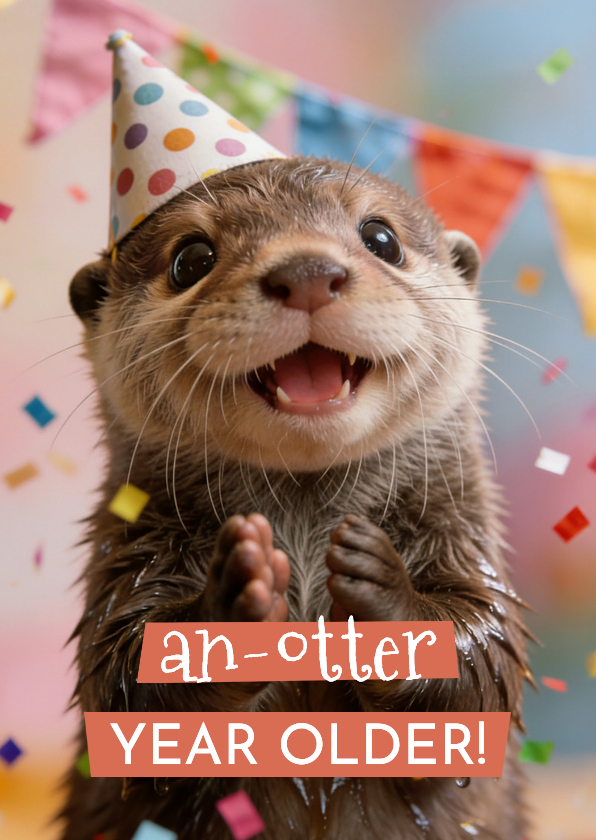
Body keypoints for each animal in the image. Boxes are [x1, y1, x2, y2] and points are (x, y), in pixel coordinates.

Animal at [60, 157, 531, 840]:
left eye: (381, 238)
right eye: (190, 259)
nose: (307, 272)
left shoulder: (463, 528)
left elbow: (482, 659)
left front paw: (380, 584)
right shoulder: (128, 549)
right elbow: (125, 677)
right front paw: (236, 591)